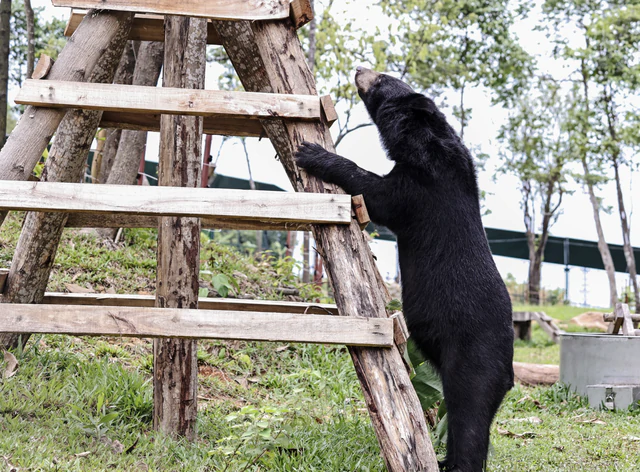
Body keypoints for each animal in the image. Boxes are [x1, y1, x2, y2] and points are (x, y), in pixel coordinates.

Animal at [295, 67, 514, 472]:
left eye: (382, 80)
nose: (359, 69)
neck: (427, 138)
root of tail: (509, 368)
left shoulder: (422, 187)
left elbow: (378, 194)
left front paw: (311, 152)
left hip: (473, 356)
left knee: (470, 414)